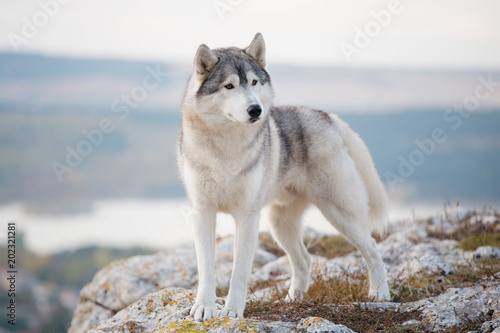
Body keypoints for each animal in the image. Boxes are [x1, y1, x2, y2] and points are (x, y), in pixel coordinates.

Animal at [177, 33, 390, 320]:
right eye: (229, 86)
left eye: (254, 82)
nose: (256, 110)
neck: (225, 149)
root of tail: (328, 116)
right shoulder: (202, 212)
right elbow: (206, 269)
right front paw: (204, 308)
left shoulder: (247, 216)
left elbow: (239, 272)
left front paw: (232, 311)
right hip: (281, 225)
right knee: (305, 260)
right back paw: (293, 299)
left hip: (340, 215)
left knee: (373, 248)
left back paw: (380, 294)